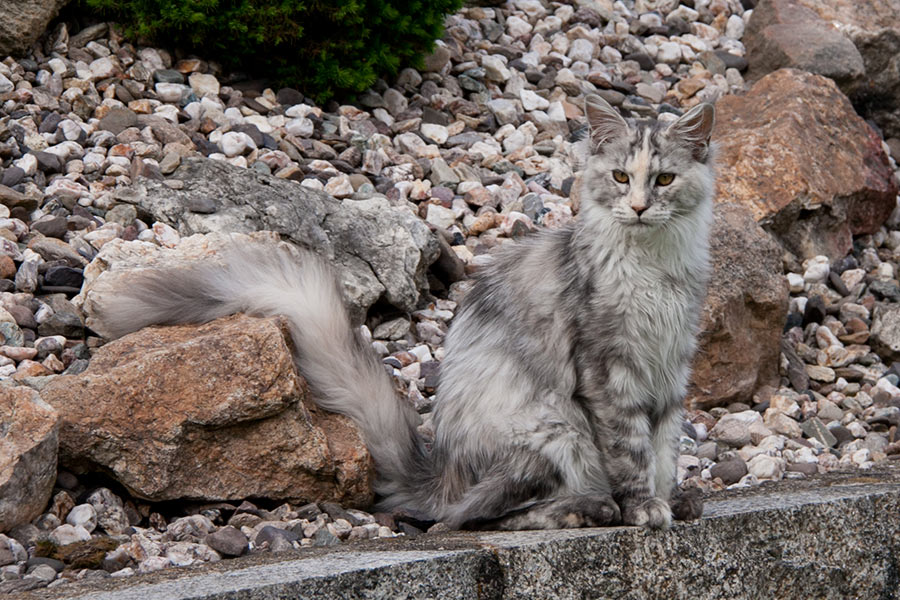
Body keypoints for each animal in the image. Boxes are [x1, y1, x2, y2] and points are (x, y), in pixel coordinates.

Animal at [95, 94, 716, 530]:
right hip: (555, 427)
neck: (654, 269)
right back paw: (589, 509)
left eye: (663, 179)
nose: (639, 207)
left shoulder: (671, 367)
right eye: (620, 177)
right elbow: (631, 452)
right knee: (467, 519)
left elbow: (664, 447)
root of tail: (437, 474)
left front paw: (668, 500)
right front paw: (644, 508)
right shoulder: (608, 372)